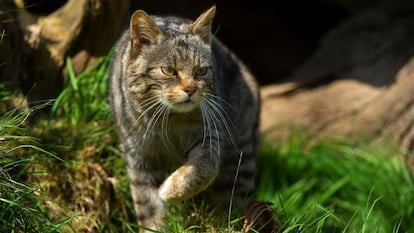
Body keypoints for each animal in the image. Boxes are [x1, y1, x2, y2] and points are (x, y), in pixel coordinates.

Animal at [108, 6, 260, 232]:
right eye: (169, 70)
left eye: (201, 71)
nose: (191, 89)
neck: (169, 121)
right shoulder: (137, 153)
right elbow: (147, 203)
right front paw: (154, 225)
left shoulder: (210, 135)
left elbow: (203, 169)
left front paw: (170, 190)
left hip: (240, 155)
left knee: (231, 201)